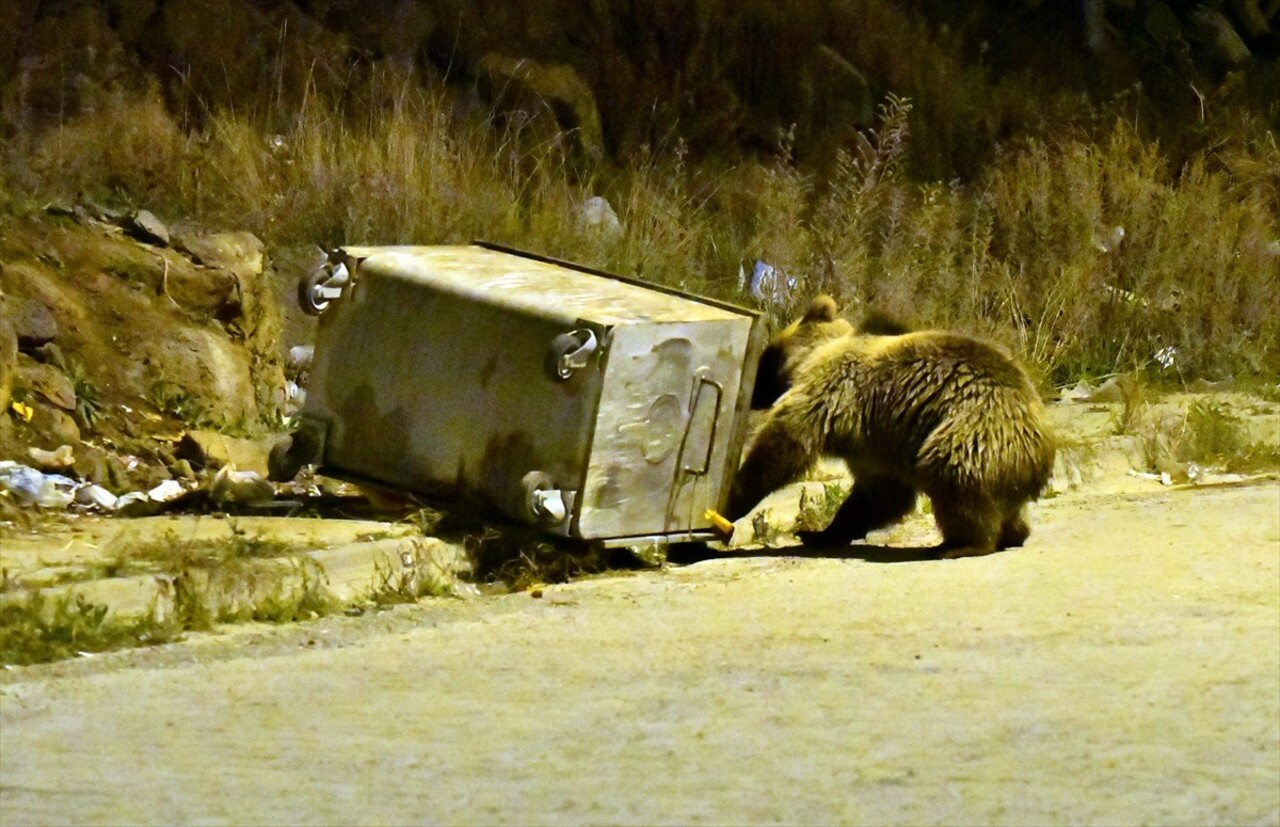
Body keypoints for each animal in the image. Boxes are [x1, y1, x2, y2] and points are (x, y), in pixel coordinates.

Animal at [737, 294, 1054, 560]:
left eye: (765, 358)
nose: (752, 394)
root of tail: (1043, 451)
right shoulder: (873, 441)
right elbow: (879, 494)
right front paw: (819, 533)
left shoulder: (834, 395)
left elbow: (784, 446)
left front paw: (735, 497)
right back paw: (1014, 534)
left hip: (973, 428)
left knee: (953, 474)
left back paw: (958, 544)